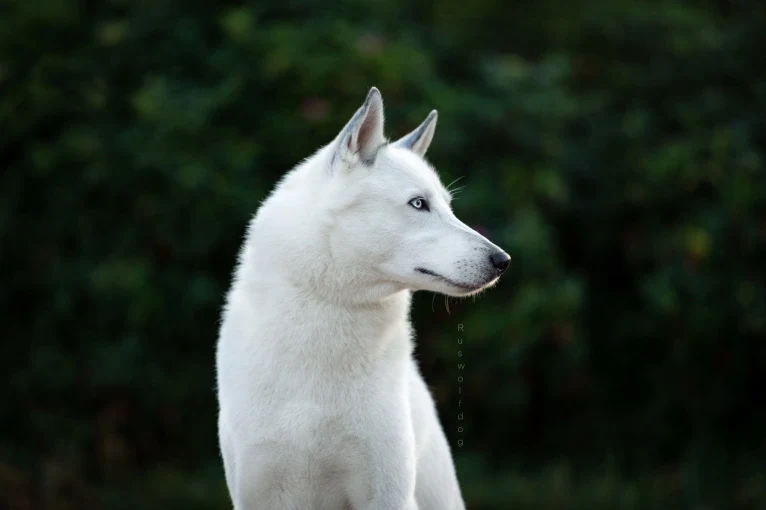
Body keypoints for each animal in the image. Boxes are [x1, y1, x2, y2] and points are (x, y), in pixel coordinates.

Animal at [218, 88, 510, 510]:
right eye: (418, 204)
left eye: (448, 207)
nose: (503, 261)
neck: (329, 311)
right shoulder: (262, 492)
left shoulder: (386, 494)